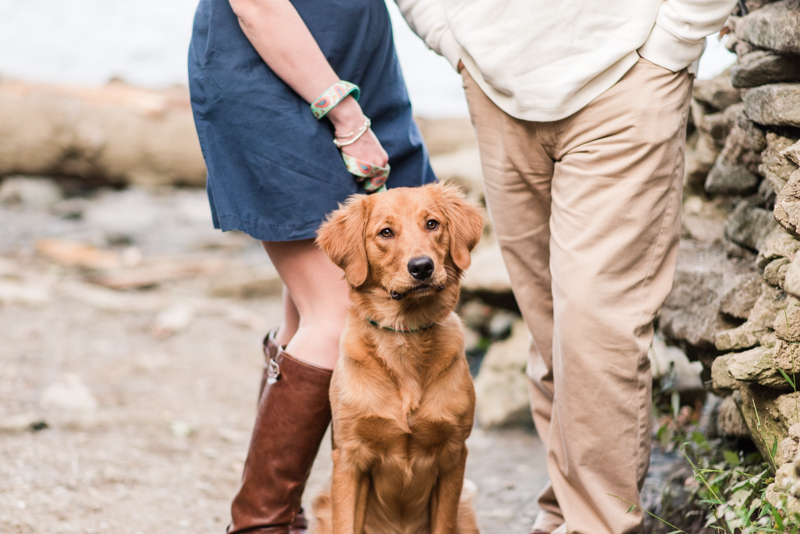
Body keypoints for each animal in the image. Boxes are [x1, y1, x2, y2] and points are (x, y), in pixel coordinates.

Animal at [314, 183, 484, 534]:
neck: (406, 335)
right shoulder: (350, 456)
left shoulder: (453, 455)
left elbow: (443, 523)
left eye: (432, 224)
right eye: (386, 232)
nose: (421, 267)